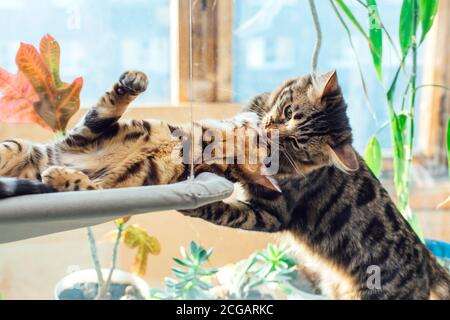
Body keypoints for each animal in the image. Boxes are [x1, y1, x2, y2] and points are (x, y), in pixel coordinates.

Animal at [181, 70, 450, 300]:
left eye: (296, 142)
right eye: (288, 111)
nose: (268, 132)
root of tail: (428, 260)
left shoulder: (271, 214)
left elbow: (226, 212)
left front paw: (194, 206)